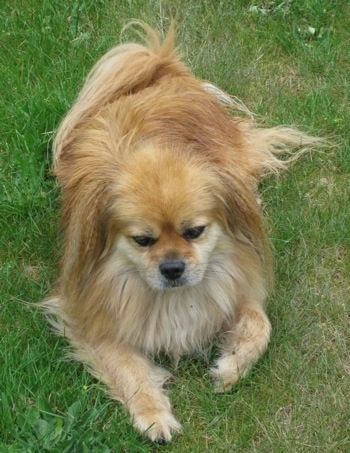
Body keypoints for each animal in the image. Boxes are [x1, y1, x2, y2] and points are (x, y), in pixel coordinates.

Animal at [42, 23, 322, 440]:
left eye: (195, 232)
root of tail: (163, 72)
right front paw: (153, 413)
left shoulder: (235, 289)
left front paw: (231, 366)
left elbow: (261, 325)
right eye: (143, 240)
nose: (172, 268)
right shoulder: (89, 316)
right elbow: (128, 368)